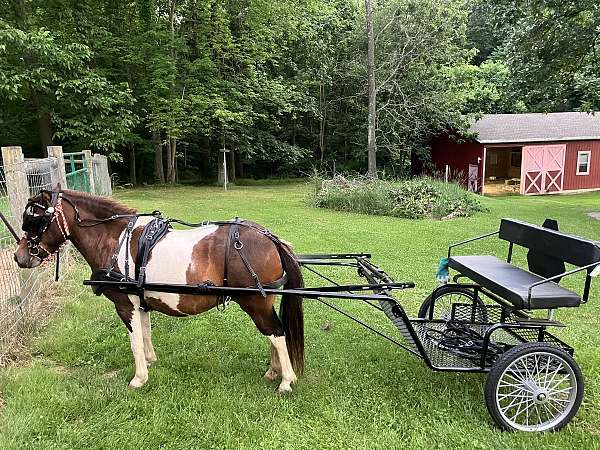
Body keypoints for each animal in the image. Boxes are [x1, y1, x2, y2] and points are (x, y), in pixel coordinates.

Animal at [12, 188, 304, 392]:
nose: (18, 256)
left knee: (276, 333)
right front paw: (151, 361)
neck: (113, 241)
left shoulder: (124, 304)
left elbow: (134, 341)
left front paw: (139, 378)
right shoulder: (140, 301)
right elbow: (145, 332)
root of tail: (270, 238)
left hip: (254, 301)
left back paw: (286, 380)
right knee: (273, 334)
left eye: (34, 220)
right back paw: (274, 371)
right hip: (263, 301)